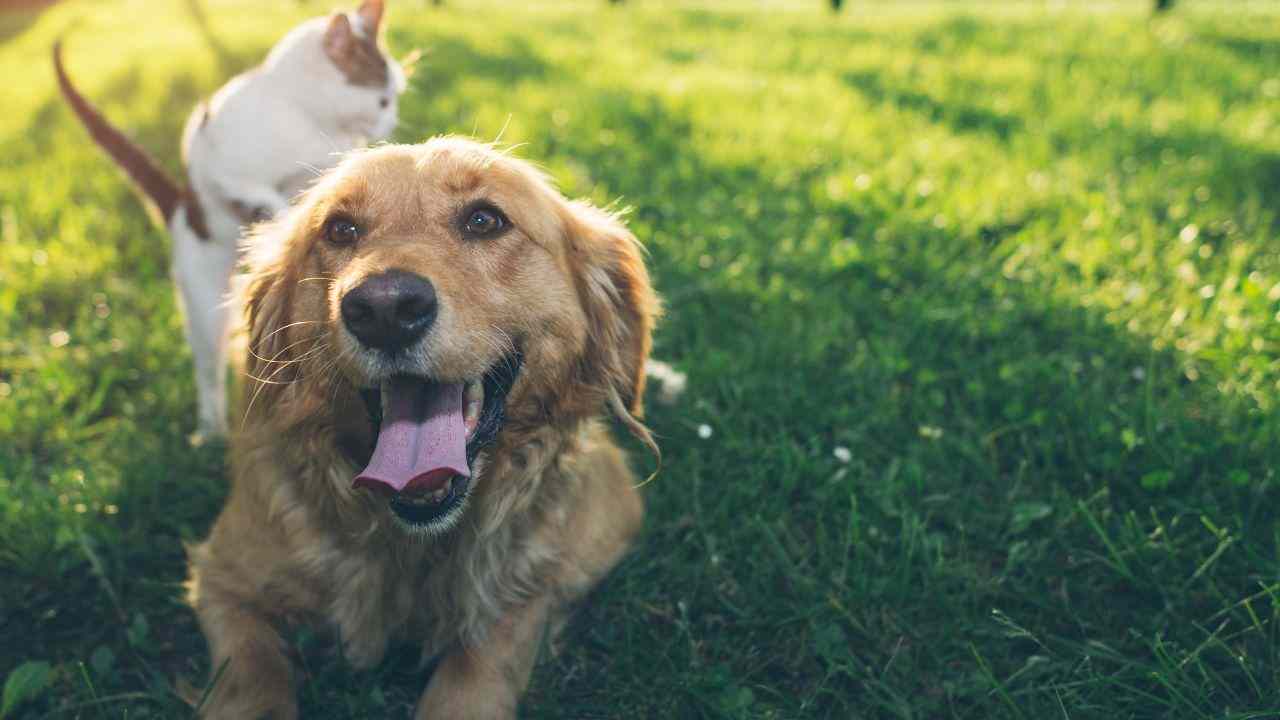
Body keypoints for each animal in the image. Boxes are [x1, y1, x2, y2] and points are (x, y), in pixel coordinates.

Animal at [52, 0, 404, 440]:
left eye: (394, 99)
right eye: (382, 101)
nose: (391, 123)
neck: (306, 120)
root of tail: (181, 207)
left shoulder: (328, 164)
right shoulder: (215, 159)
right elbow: (260, 193)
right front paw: (279, 221)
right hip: (205, 305)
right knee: (208, 369)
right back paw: (210, 431)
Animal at [189, 135, 660, 717]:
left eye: (484, 220)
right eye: (340, 229)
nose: (385, 309)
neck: (413, 546)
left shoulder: (585, 540)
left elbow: (488, 647)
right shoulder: (222, 577)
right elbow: (252, 675)